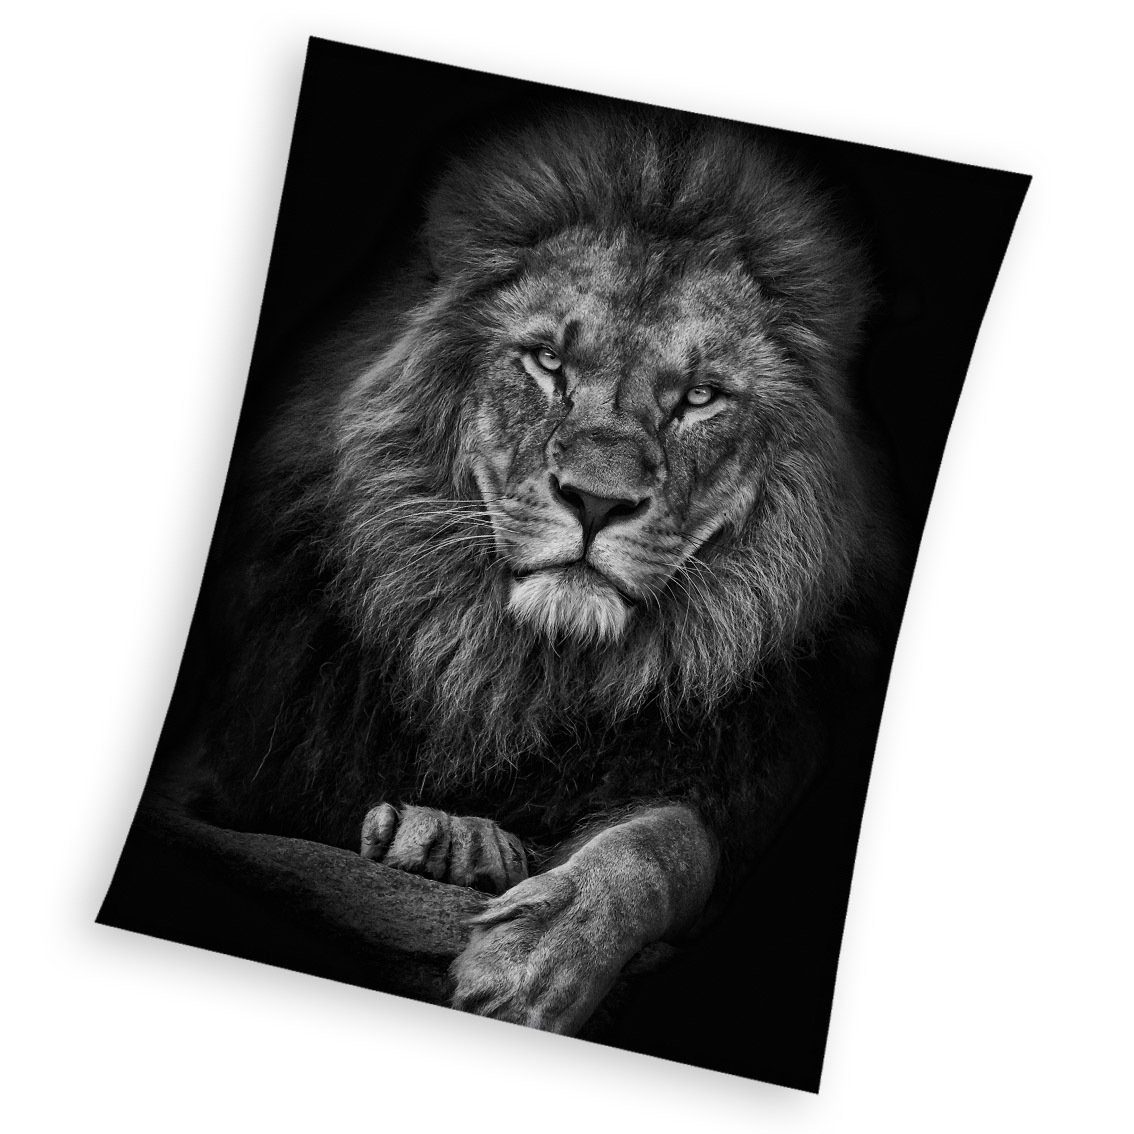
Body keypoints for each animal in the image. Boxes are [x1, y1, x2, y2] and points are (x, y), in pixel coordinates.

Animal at [194, 102, 902, 1035]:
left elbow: (666, 842)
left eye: (699, 398)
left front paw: (537, 955)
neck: (522, 675)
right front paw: (447, 840)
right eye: (548, 362)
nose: (596, 502)